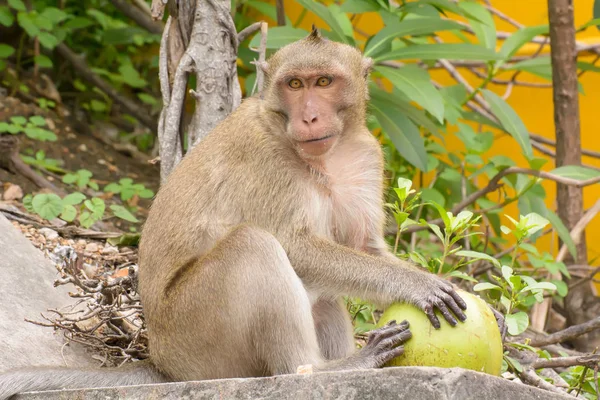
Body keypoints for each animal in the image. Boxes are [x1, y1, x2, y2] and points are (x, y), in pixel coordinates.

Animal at [0, 28, 466, 400]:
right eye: (294, 84)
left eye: (324, 81)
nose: (309, 116)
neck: (321, 155)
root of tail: (163, 364)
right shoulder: (264, 158)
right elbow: (295, 247)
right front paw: (419, 284)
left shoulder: (367, 155)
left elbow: (362, 248)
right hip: (199, 337)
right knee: (254, 245)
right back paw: (319, 370)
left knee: (324, 292)